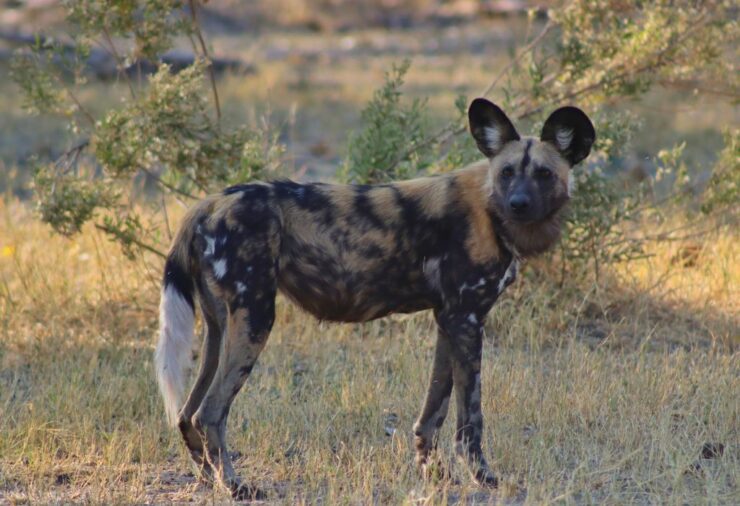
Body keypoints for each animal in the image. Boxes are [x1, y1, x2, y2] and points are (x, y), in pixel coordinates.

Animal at [155, 99, 596, 498]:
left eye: (543, 174)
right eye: (506, 173)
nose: (518, 204)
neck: (490, 209)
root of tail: (207, 203)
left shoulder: (450, 320)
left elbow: (432, 412)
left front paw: (435, 476)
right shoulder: (468, 321)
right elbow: (470, 417)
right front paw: (483, 478)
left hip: (220, 329)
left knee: (187, 413)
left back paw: (207, 479)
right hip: (255, 319)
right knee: (210, 413)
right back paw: (234, 485)